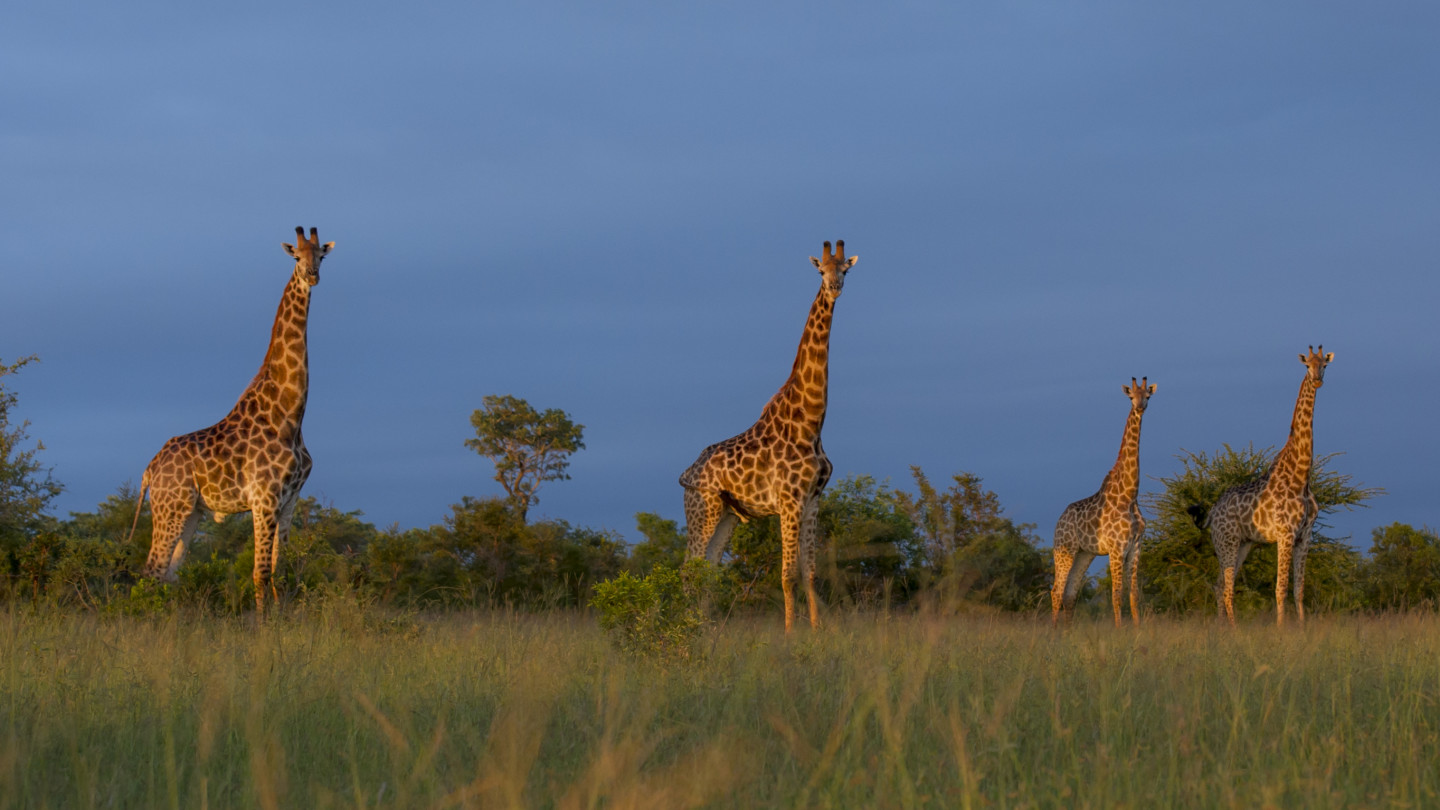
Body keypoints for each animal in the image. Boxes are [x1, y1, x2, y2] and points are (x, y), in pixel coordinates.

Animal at [128, 223, 332, 608]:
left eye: (321, 256)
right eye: (296, 257)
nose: (312, 275)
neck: (289, 416)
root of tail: (149, 469)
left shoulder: (289, 501)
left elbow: (281, 575)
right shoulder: (264, 499)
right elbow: (260, 574)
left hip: (191, 512)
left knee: (170, 575)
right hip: (170, 507)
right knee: (151, 572)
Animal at [679, 239, 858, 631]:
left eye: (845, 269)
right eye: (820, 270)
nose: (835, 288)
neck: (811, 423)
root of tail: (688, 470)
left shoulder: (812, 501)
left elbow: (809, 573)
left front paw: (817, 633)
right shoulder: (789, 501)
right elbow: (787, 575)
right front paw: (791, 635)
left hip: (727, 516)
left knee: (707, 571)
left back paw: (705, 629)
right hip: (701, 508)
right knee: (688, 570)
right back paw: (686, 630)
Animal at [1054, 374, 1163, 628]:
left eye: (1148, 395)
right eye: (1131, 397)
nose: (1140, 407)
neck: (1130, 495)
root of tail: (1059, 520)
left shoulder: (1136, 546)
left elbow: (1133, 594)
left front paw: (1137, 630)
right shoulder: (1116, 548)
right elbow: (1116, 594)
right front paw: (1120, 630)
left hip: (1084, 554)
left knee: (1070, 593)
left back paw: (1066, 632)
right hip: (1064, 550)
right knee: (1056, 591)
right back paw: (1052, 632)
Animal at [1203, 341, 1324, 625]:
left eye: (1324, 363)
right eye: (1307, 364)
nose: (1317, 379)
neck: (1301, 476)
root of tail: (1212, 512)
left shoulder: (1305, 535)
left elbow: (1299, 588)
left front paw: (1302, 627)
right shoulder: (1285, 533)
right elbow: (1280, 588)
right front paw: (1281, 628)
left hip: (1243, 543)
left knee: (1219, 585)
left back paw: (1221, 627)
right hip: (1226, 541)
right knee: (1226, 587)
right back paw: (1233, 628)